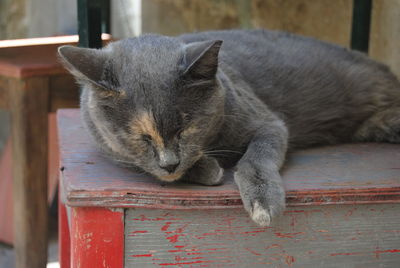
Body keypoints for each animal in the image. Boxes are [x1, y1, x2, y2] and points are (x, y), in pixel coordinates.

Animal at [57, 28, 400, 226]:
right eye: (140, 137)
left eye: (186, 127)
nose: (170, 163)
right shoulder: (109, 148)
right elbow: (140, 164)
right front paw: (207, 169)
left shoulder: (269, 124)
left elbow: (256, 157)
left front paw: (263, 201)